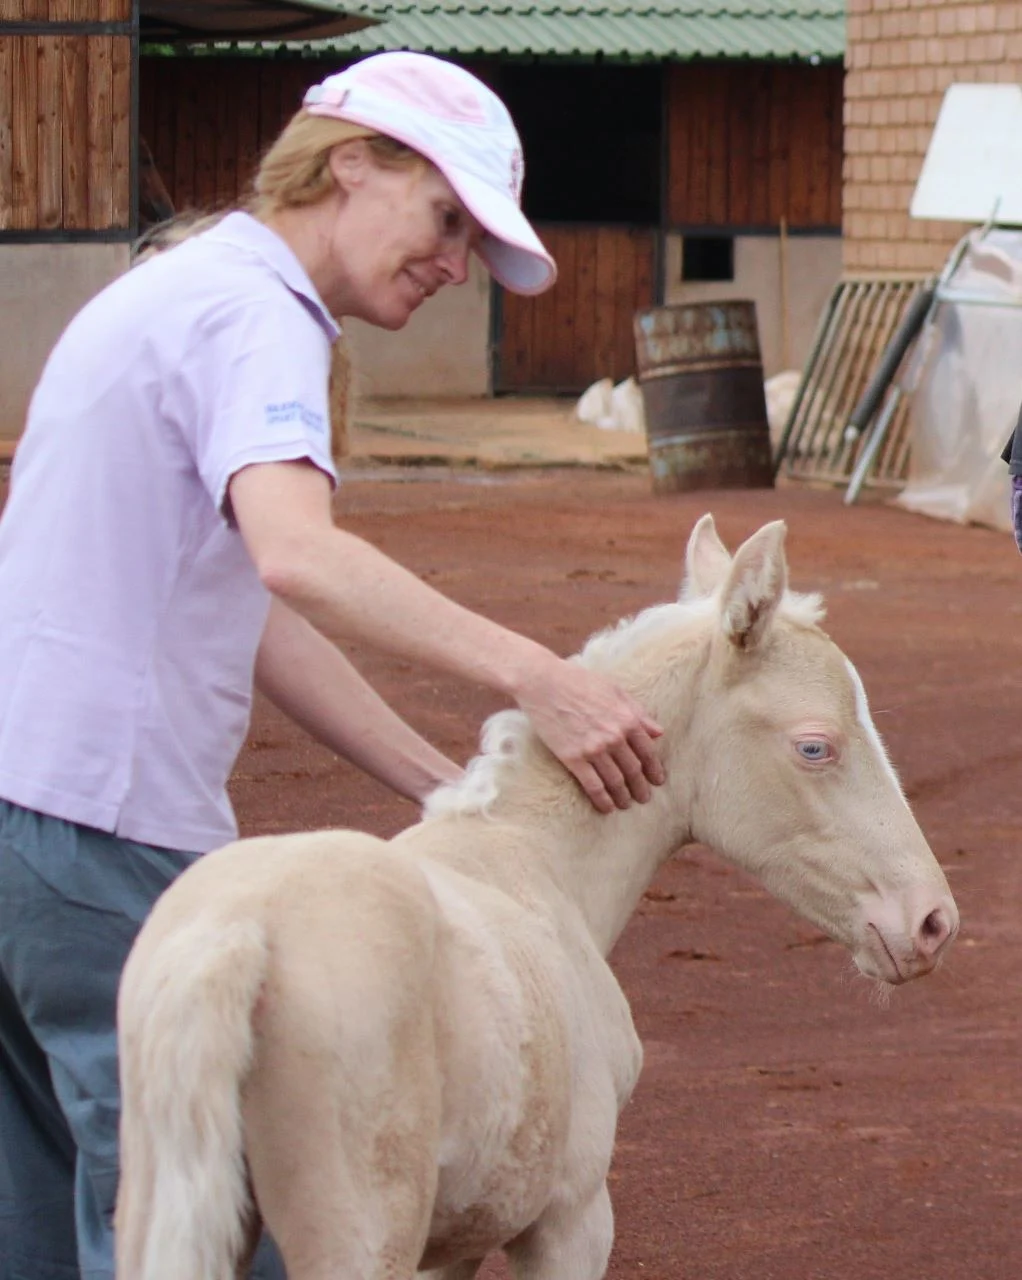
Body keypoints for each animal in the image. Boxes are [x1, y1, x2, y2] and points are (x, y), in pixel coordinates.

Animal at [115, 514, 958, 1280]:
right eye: (815, 746)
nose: (930, 921)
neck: (537, 865)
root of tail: (238, 938)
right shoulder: (571, 1221)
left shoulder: (454, 1244)